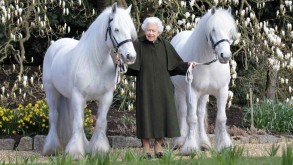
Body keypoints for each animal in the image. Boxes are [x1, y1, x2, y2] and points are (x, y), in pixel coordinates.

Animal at [42, 3, 137, 159]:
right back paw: (52, 148)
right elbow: (78, 122)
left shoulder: (106, 97)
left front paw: (99, 150)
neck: (95, 63)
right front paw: (75, 153)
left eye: (130, 30)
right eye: (116, 29)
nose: (131, 56)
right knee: (54, 117)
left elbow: (100, 122)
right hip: (51, 91)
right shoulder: (79, 96)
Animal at [170, 7, 238, 155]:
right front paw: (190, 147)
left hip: (204, 94)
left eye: (230, 30)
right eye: (213, 30)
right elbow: (191, 119)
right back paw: (180, 141)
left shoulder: (222, 91)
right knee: (183, 113)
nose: (225, 56)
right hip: (180, 91)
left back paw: (204, 143)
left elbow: (221, 118)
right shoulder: (192, 92)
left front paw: (225, 145)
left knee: (200, 115)